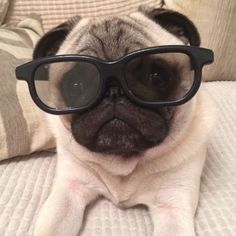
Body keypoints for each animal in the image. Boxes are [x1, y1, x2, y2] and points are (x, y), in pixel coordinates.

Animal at [32, 5, 215, 236]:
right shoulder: (69, 188)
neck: (123, 160)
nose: (113, 92)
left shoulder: (172, 202)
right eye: (75, 85)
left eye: (158, 77)